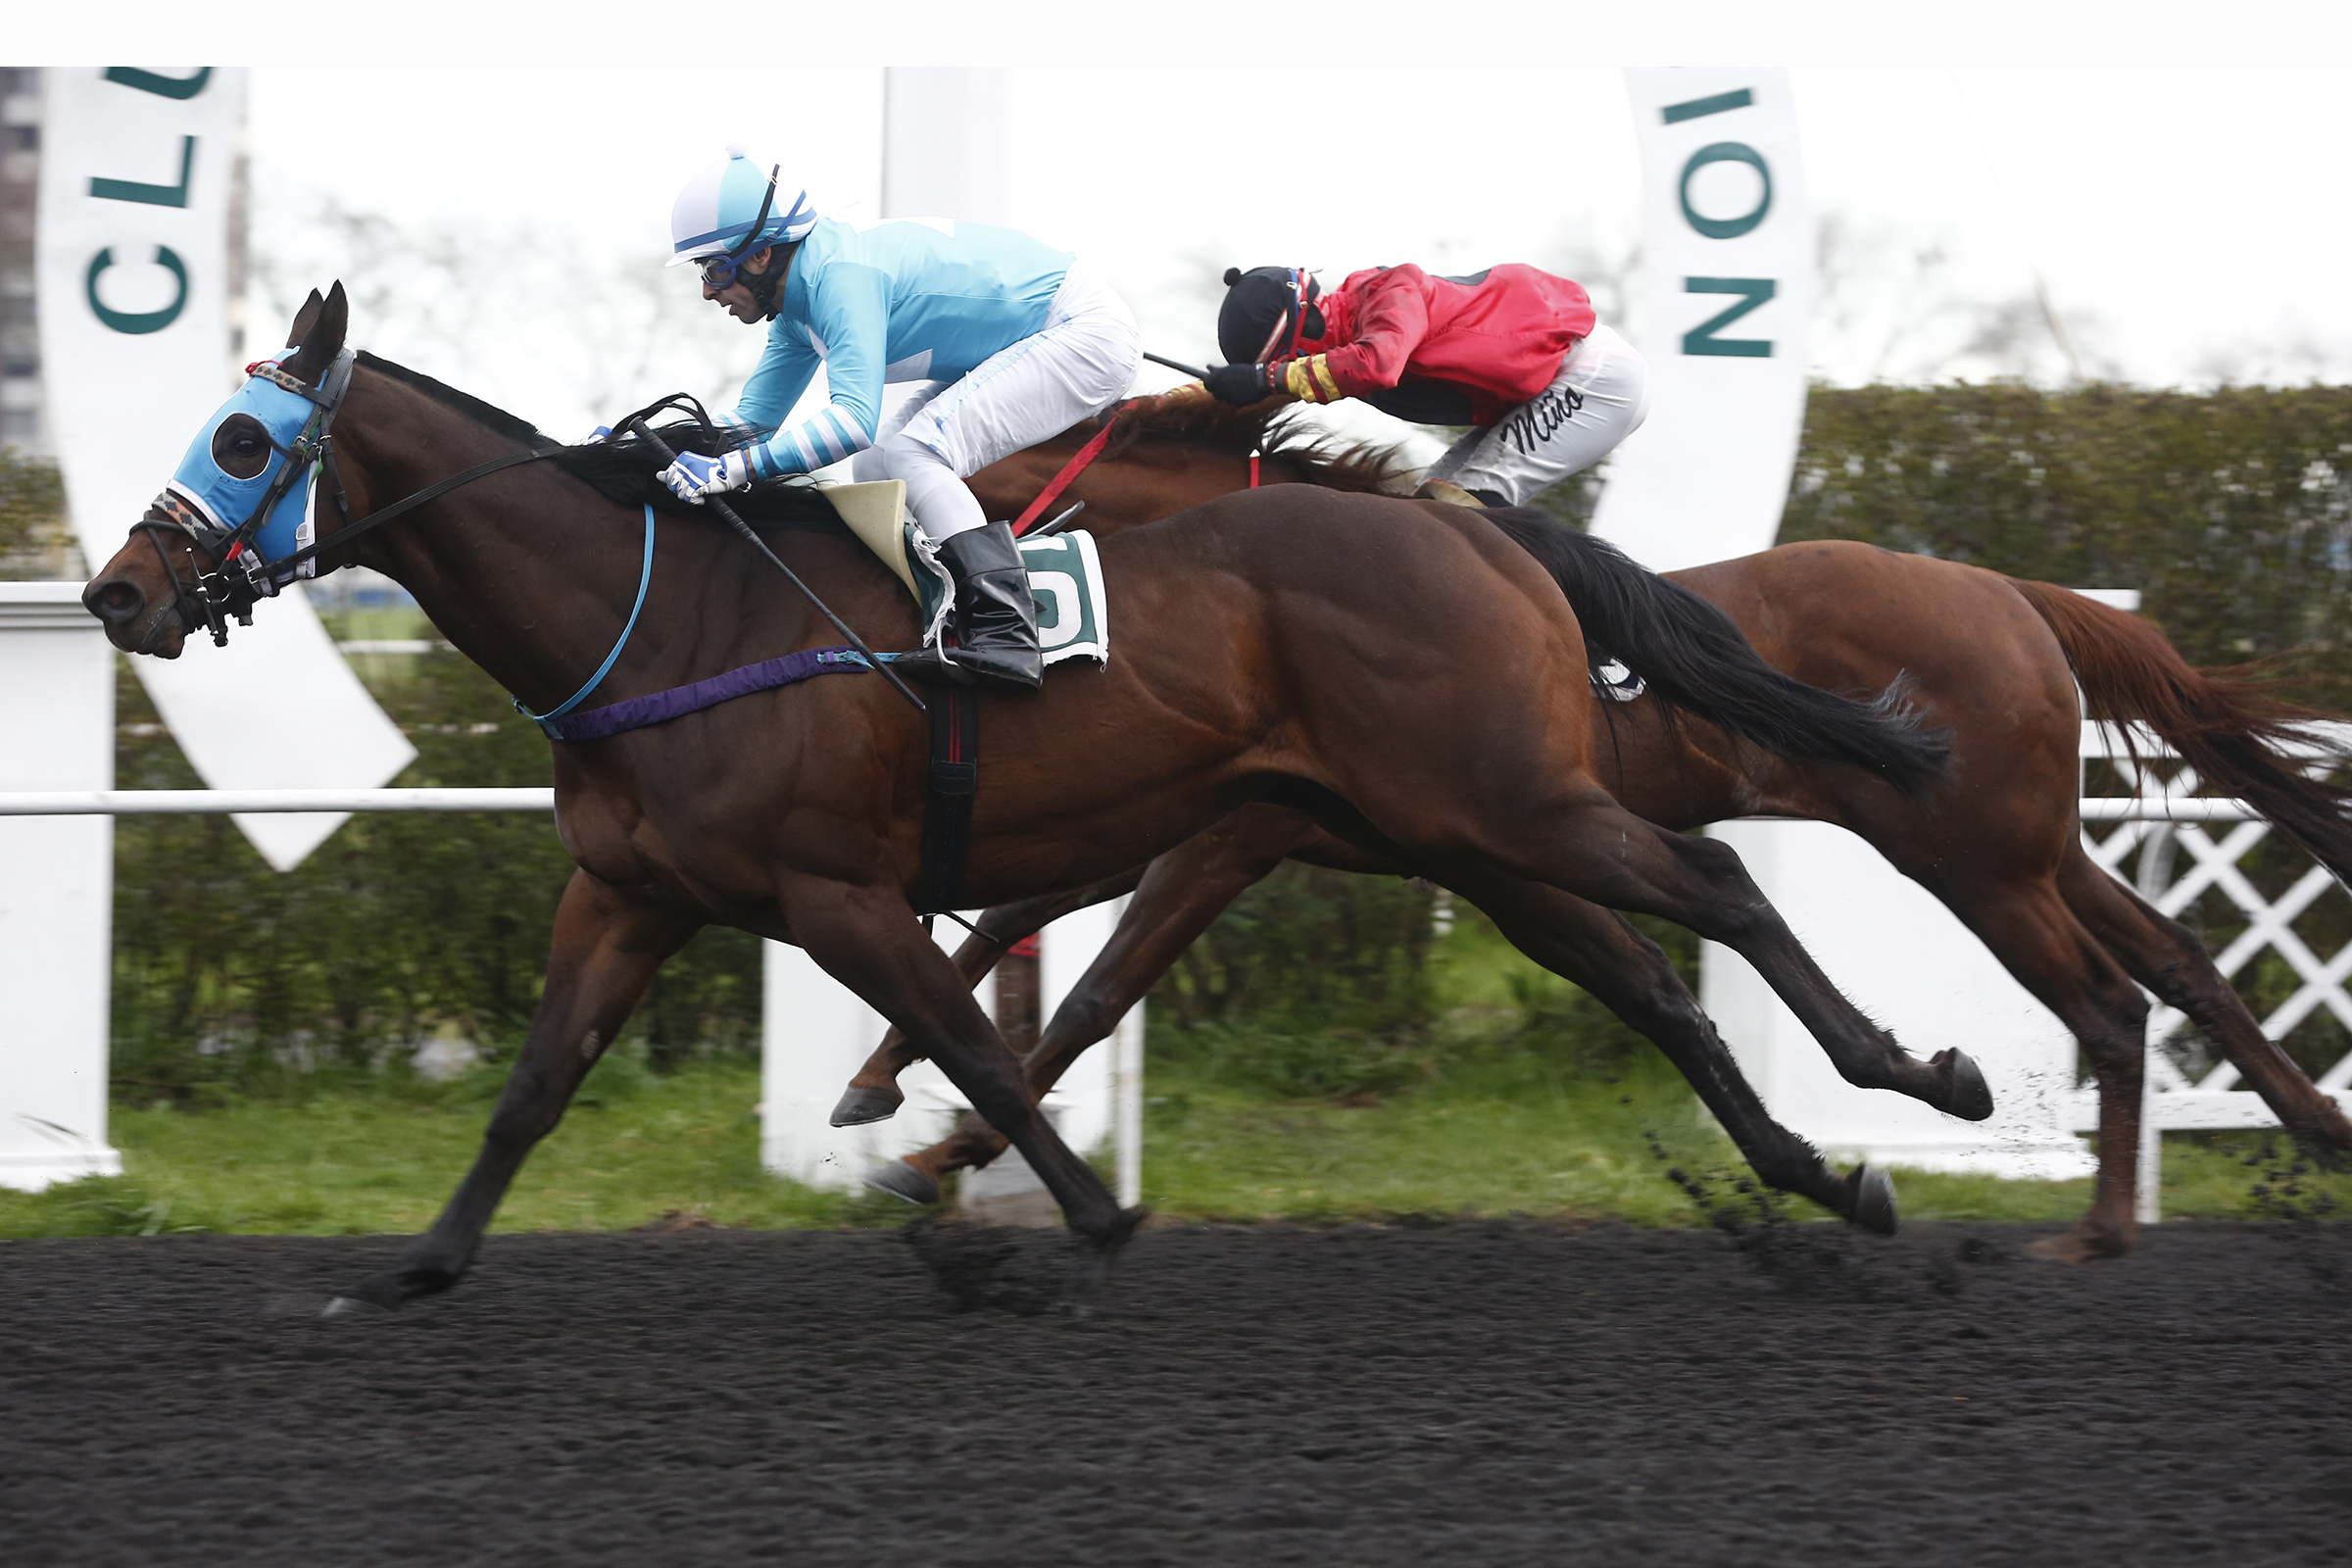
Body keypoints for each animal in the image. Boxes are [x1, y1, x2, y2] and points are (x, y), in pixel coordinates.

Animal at [81, 286, 1972, 1309]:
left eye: (242, 442)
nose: (116, 592)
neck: (666, 616)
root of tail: (1476, 527)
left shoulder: (839, 895)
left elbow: (985, 1041)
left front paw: (1072, 1217)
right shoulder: (632, 892)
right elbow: (533, 1087)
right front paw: (411, 1265)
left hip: (1501, 806)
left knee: (1714, 894)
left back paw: (1915, 1083)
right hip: (1457, 829)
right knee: (1647, 977)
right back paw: (1826, 1180)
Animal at [836, 396, 2352, 1262]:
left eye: (1006, 504)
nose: (966, 625)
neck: (1259, 586)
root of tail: (2012, 591)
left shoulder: (1241, 831)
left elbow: (1088, 983)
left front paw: (925, 1130)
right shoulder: (1393, 838)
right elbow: (1022, 923)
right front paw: (892, 1095)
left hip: (1976, 855)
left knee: (2108, 997)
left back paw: (2096, 1230)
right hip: (2031, 844)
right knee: (2176, 960)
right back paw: (2309, 1131)